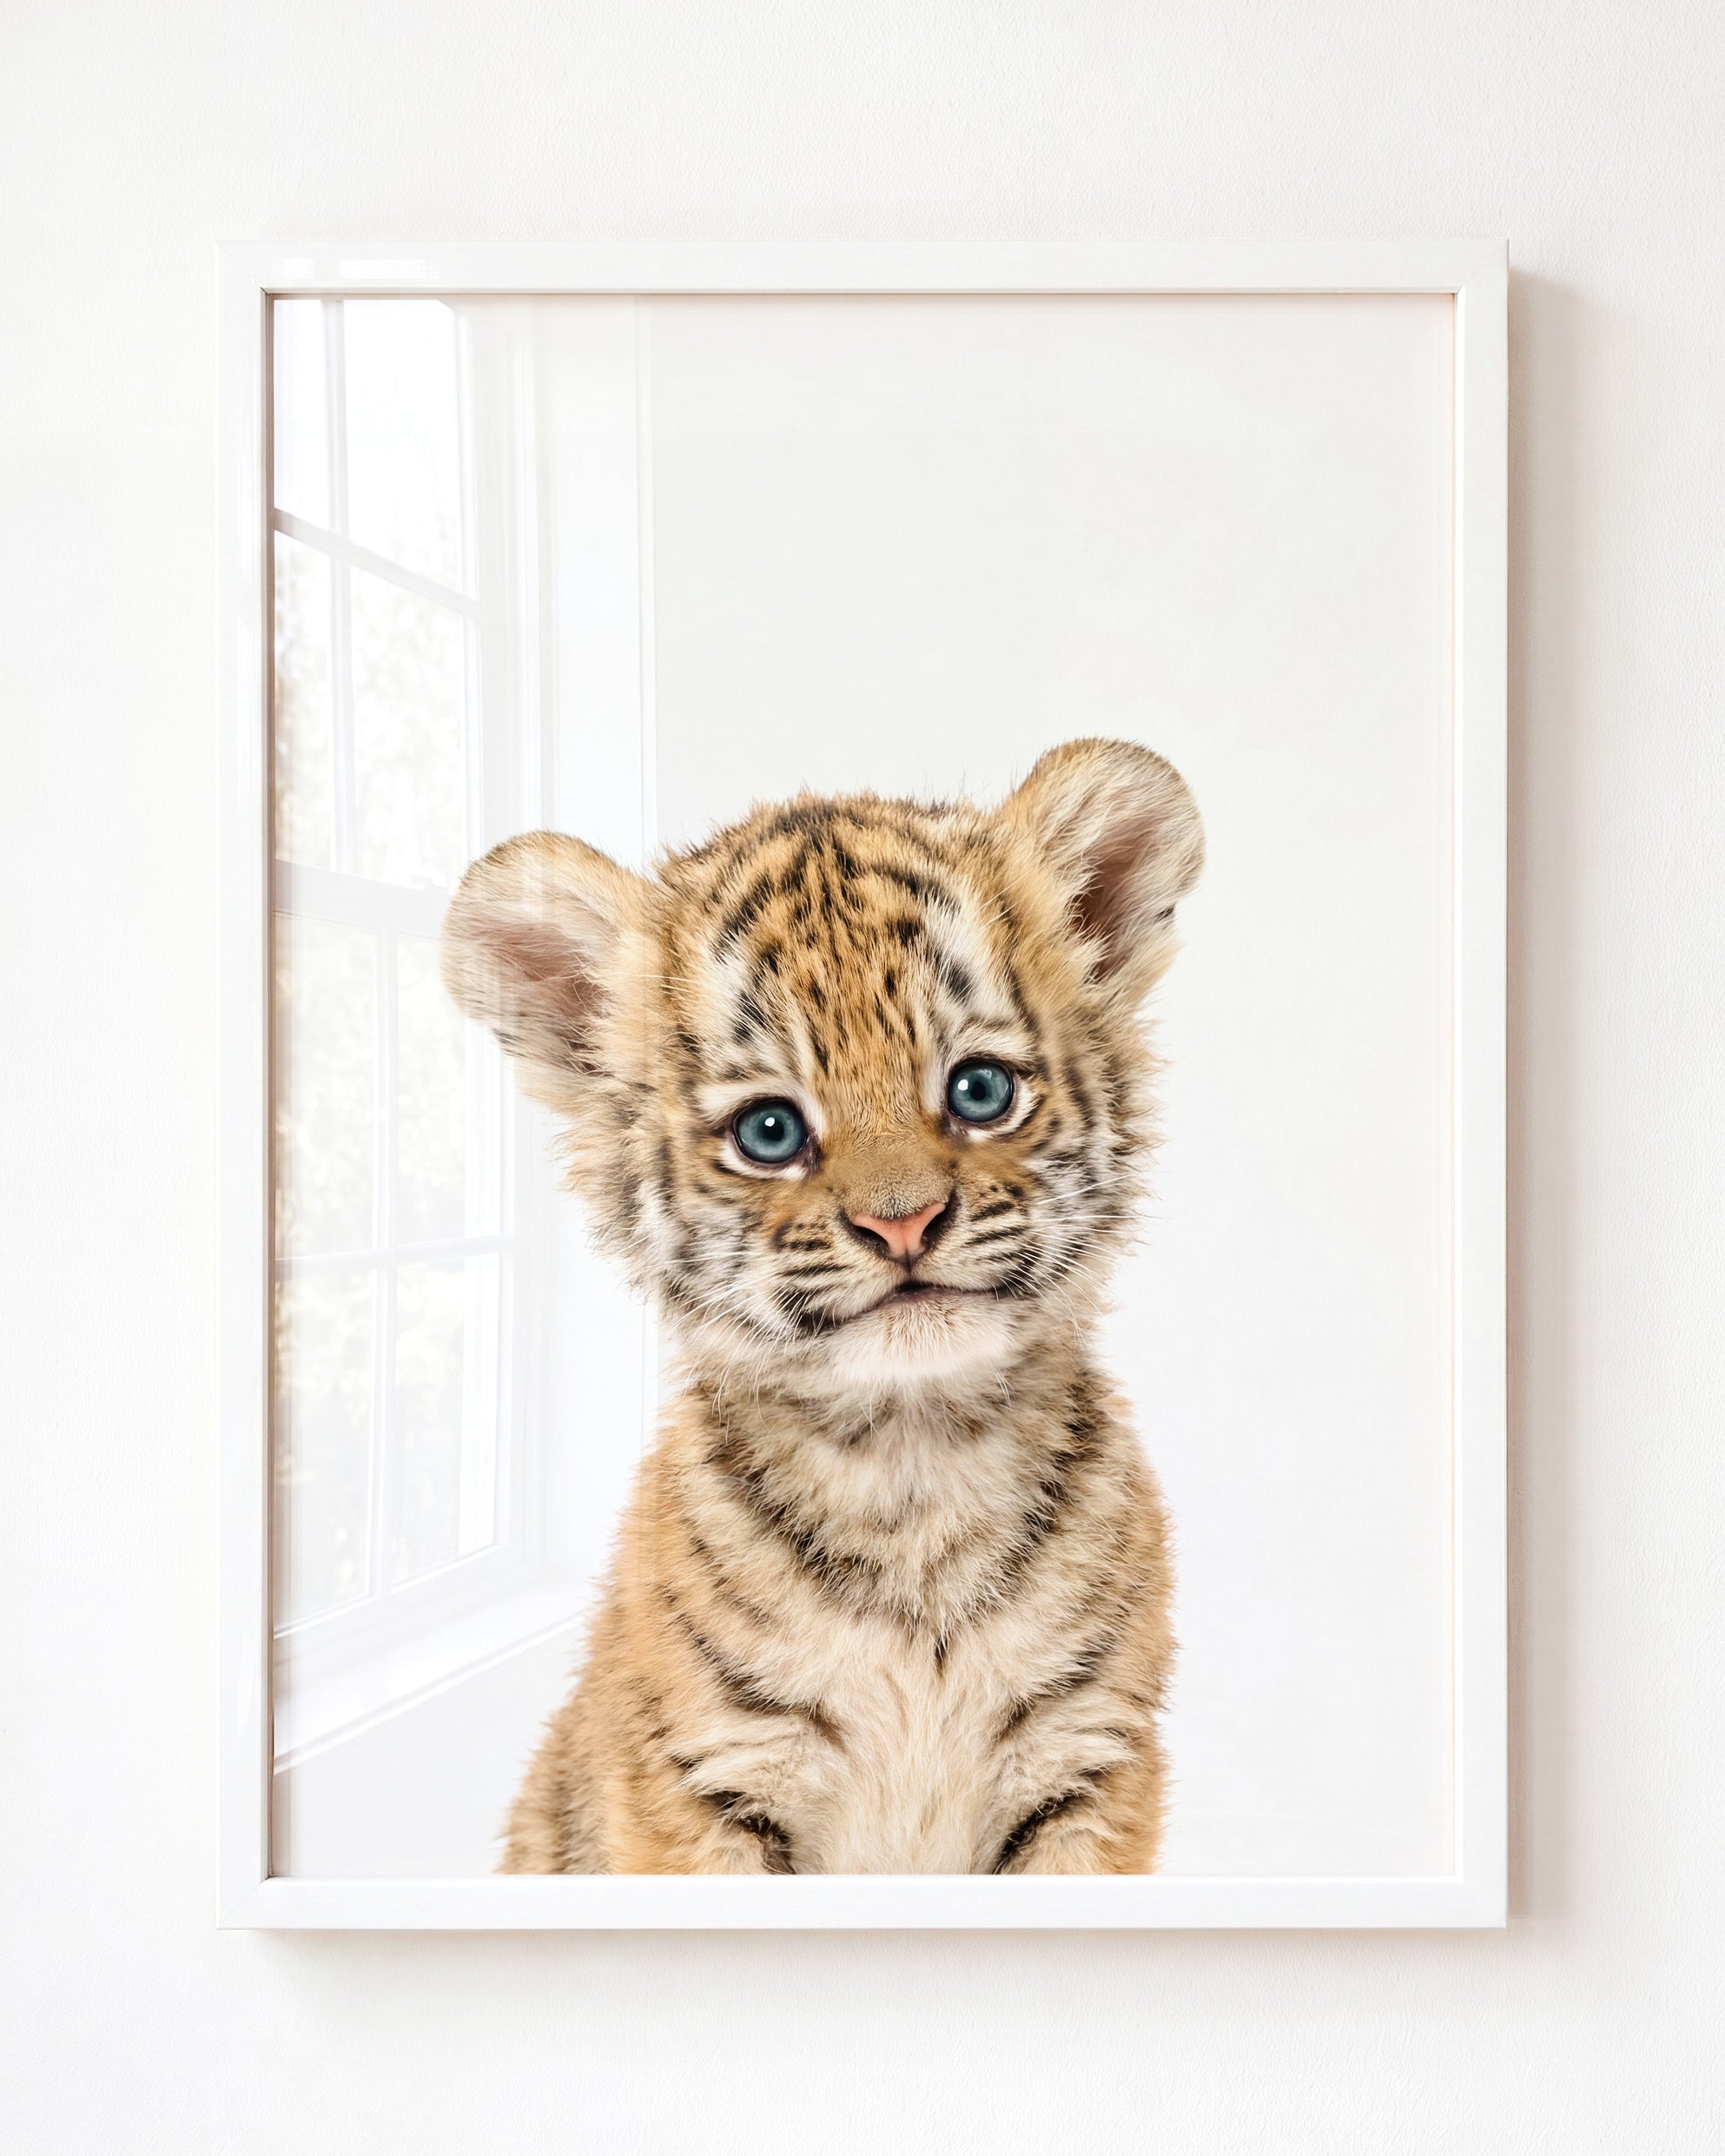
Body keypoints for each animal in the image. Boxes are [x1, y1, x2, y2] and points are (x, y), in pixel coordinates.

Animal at [440, 737, 1204, 1874]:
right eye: (770, 1130)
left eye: (980, 1091)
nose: (904, 1222)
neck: (914, 1467)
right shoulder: (703, 1777)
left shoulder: (1089, 1760)